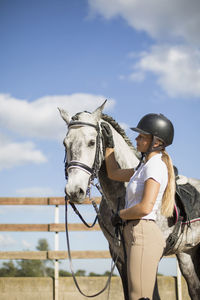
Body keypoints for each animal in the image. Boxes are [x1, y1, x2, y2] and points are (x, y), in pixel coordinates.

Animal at [58, 102, 200, 298]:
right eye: (65, 143)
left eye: (92, 142)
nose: (73, 191)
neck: (120, 196)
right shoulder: (119, 256)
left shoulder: (150, 256)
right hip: (187, 255)